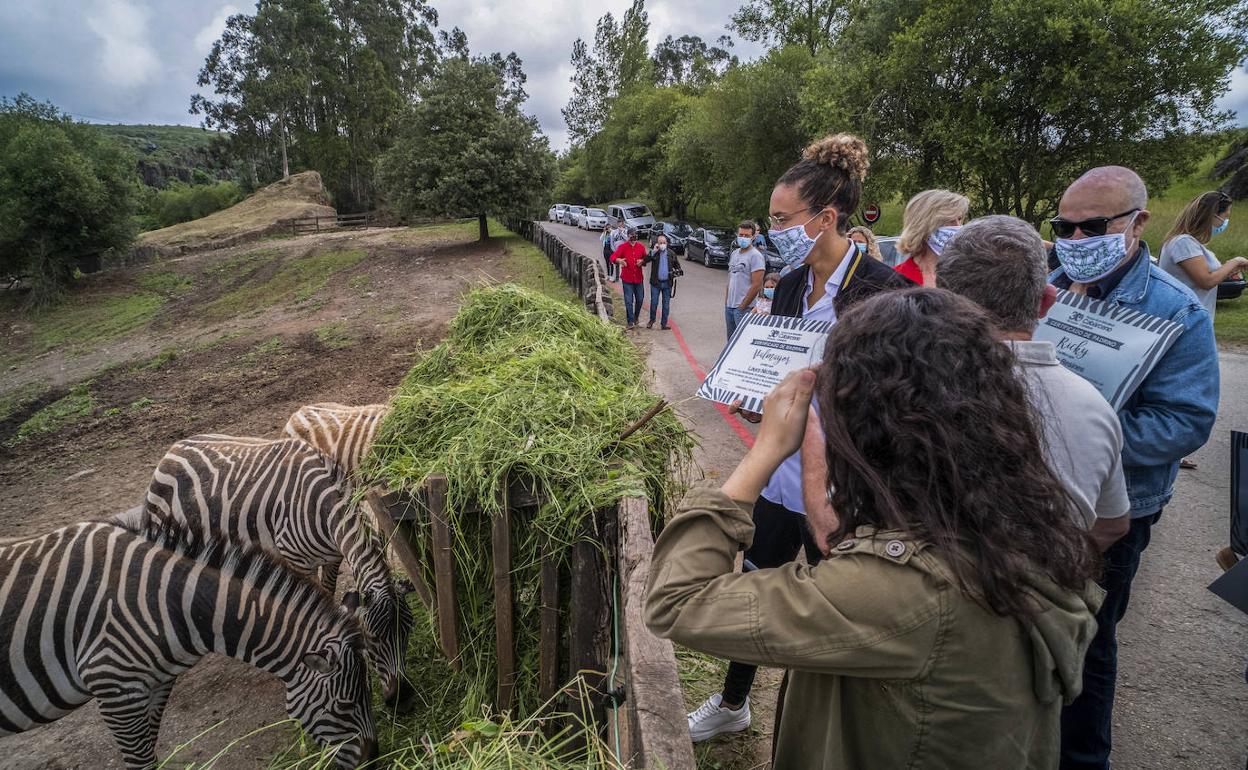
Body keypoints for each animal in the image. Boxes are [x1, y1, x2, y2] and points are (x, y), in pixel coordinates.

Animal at [0, 516, 376, 768]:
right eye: (344, 706)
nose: (373, 759)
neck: (172, 602)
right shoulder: (113, 686)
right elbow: (139, 760)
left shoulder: (156, 684)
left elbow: (150, 748)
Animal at [139, 434, 416, 713]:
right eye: (372, 638)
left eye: (409, 629)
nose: (402, 698)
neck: (321, 504)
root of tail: (172, 450)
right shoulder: (298, 562)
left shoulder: (333, 558)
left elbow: (328, 593)